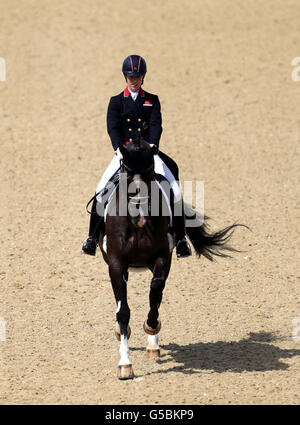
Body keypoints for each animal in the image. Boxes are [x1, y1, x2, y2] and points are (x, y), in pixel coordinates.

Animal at [98, 138, 241, 378]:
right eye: (127, 174)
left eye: (149, 175)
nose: (139, 217)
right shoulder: (116, 264)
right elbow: (123, 311)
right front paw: (125, 363)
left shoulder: (163, 258)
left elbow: (155, 292)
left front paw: (151, 327)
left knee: (156, 293)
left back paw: (153, 345)